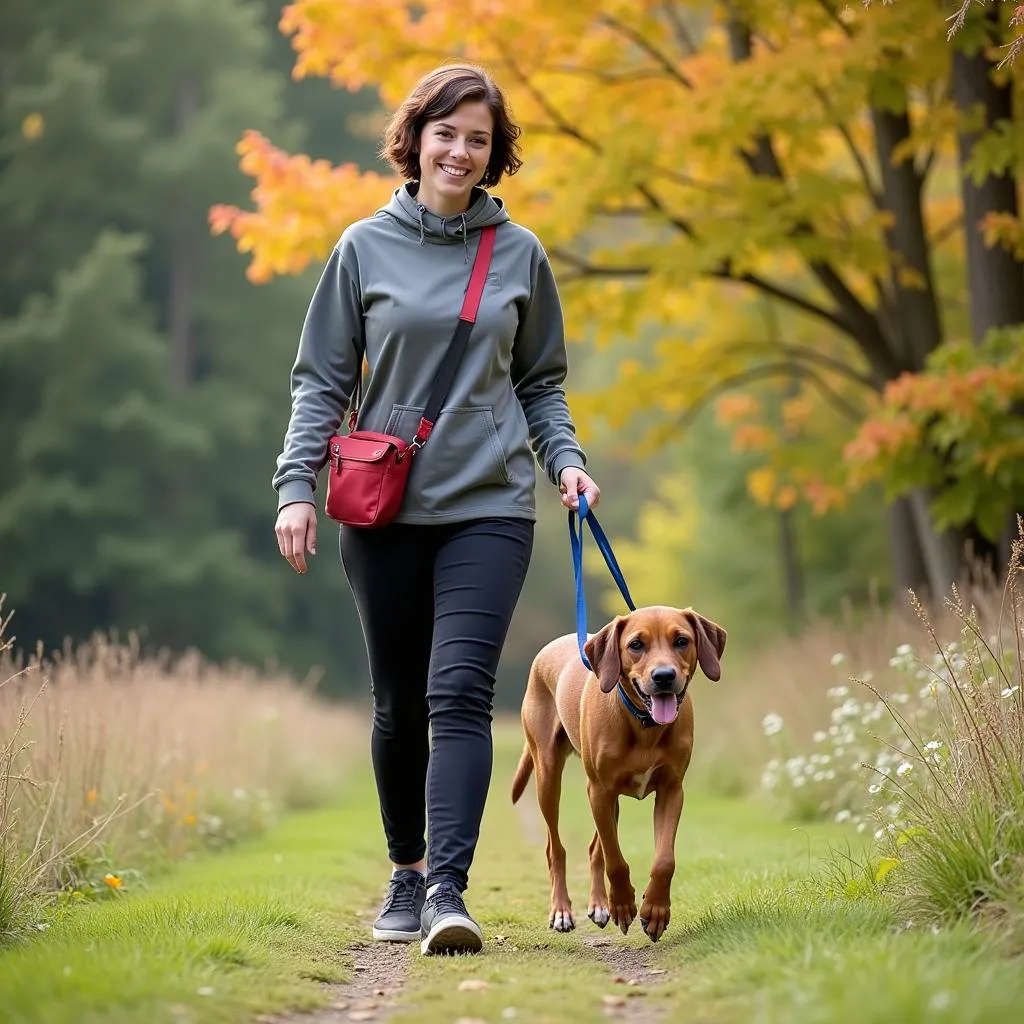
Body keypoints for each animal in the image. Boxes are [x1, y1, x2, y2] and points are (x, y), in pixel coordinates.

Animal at [512, 606, 729, 942]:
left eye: (682, 640)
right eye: (636, 645)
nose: (664, 676)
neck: (644, 724)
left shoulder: (671, 790)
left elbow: (663, 860)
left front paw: (655, 911)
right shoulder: (599, 790)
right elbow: (615, 860)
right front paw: (624, 905)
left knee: (594, 848)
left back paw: (599, 905)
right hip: (548, 775)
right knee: (555, 849)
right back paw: (562, 911)